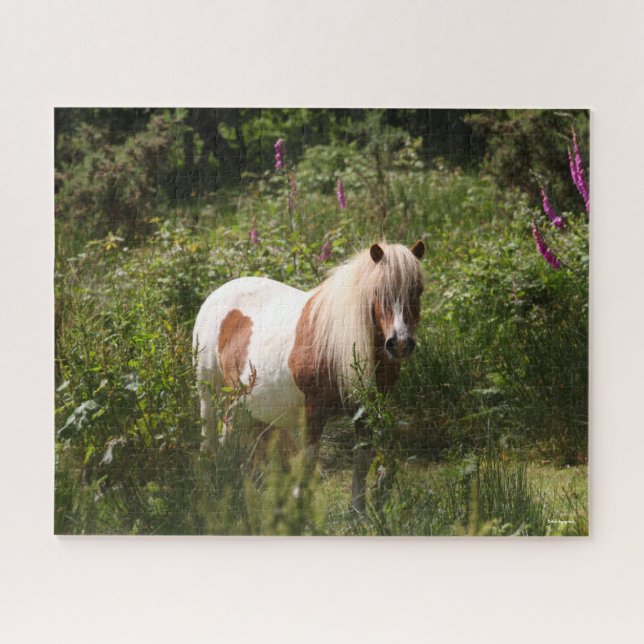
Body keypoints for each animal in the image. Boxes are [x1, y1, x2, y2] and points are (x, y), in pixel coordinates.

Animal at [193, 240, 425, 512]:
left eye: (418, 290)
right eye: (377, 291)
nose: (399, 344)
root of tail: (216, 295)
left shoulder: (365, 413)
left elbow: (361, 462)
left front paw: (358, 513)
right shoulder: (313, 412)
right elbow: (307, 463)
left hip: (246, 404)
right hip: (209, 393)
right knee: (210, 438)